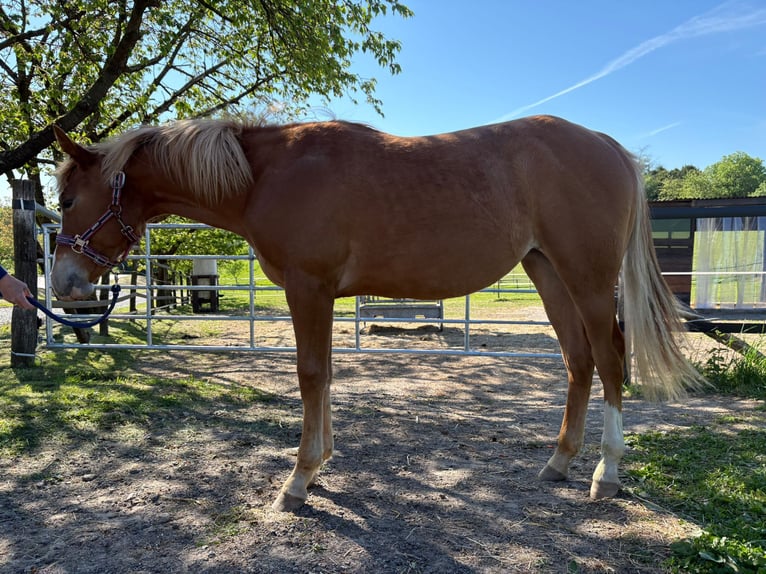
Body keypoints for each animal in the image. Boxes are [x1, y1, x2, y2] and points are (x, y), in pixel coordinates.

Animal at [51, 116, 703, 512]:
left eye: (67, 197)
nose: (63, 285)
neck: (267, 176)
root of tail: (608, 146)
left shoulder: (307, 290)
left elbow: (310, 374)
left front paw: (298, 480)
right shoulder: (317, 296)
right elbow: (325, 376)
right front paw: (320, 464)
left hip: (587, 278)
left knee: (611, 360)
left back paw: (605, 474)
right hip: (547, 272)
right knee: (578, 360)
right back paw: (559, 463)